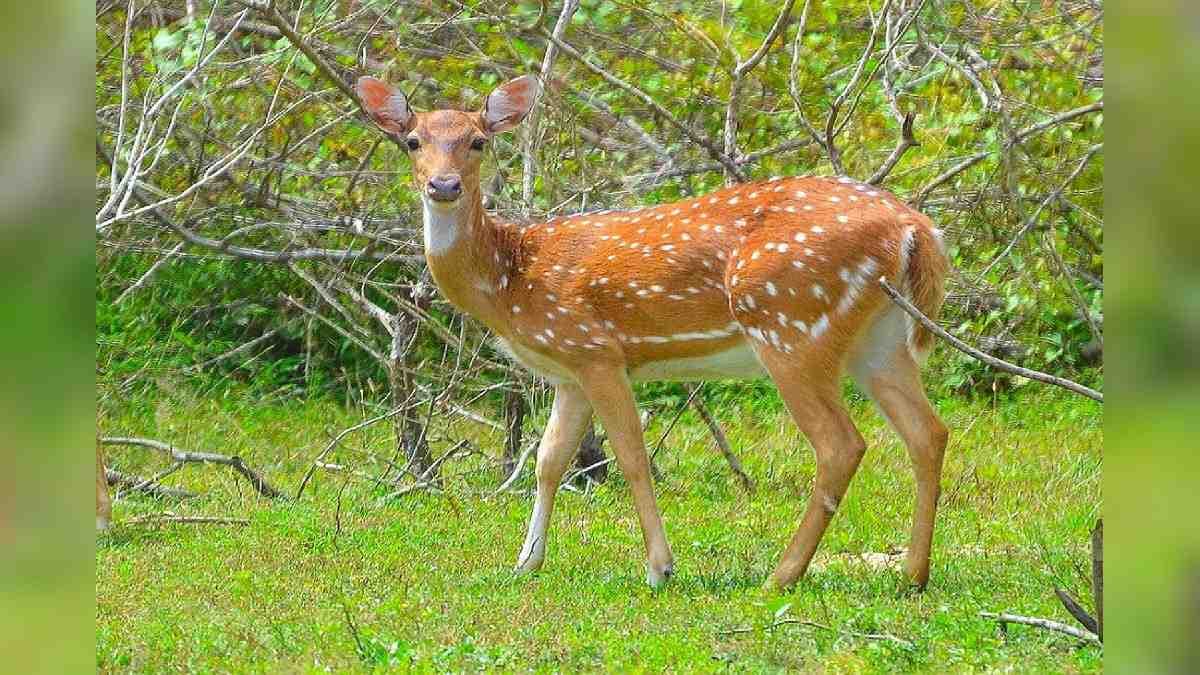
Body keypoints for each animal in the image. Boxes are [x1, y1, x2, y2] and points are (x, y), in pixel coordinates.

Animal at [354, 73, 950, 590]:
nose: (444, 185)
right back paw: (912, 574)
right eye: (412, 141)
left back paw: (782, 575)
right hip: (879, 339)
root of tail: (914, 228)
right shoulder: (568, 371)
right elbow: (549, 461)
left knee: (841, 444)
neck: (511, 280)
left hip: (790, 325)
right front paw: (526, 562)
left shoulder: (597, 350)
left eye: (477, 141)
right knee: (929, 432)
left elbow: (631, 457)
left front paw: (660, 568)